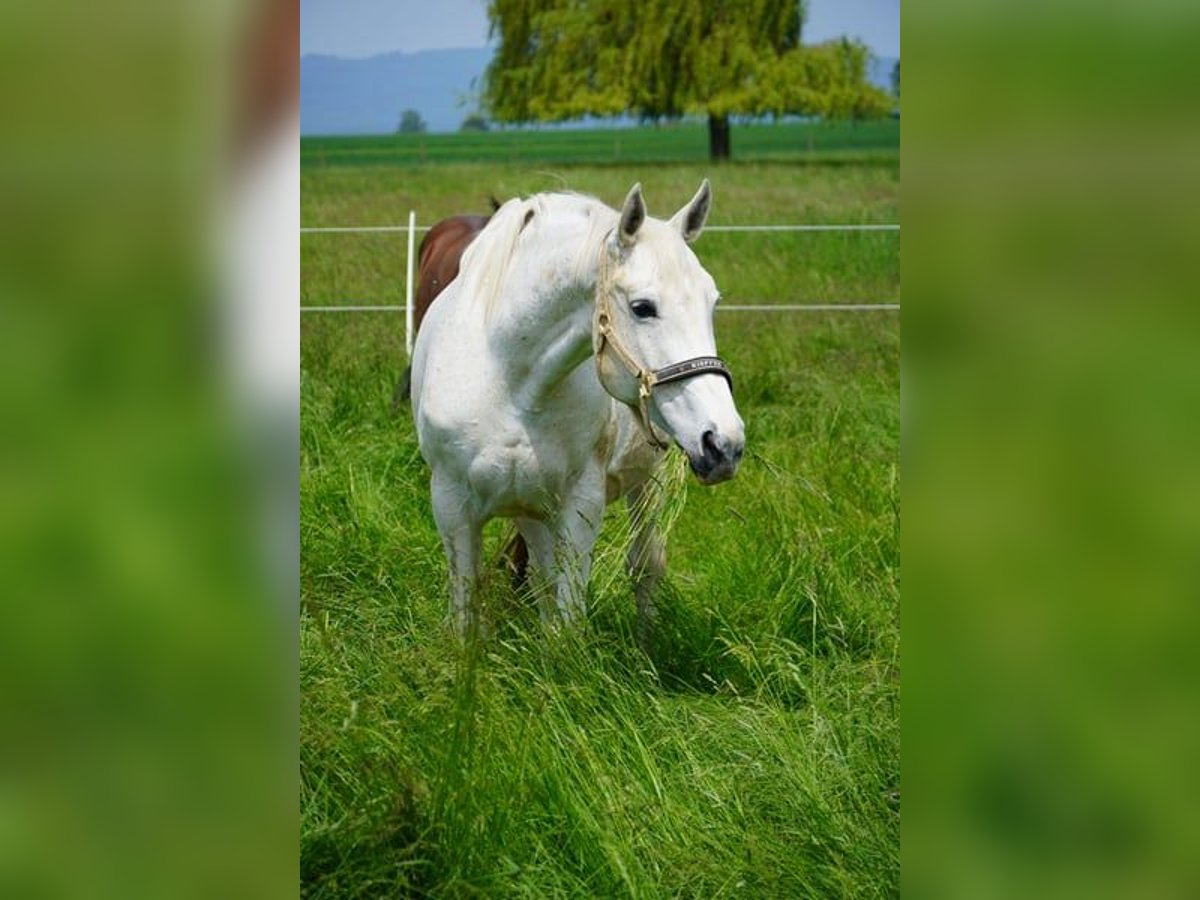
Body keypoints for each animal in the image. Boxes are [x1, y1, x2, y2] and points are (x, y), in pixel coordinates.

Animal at [412, 180, 739, 638]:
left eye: (712, 302)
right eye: (642, 307)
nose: (724, 443)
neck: (508, 379)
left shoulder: (581, 503)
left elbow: (566, 618)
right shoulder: (452, 503)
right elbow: (465, 609)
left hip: (645, 482)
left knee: (644, 565)